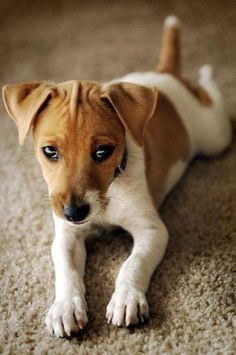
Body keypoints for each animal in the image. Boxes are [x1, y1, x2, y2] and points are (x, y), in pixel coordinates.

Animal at [1, 16, 232, 340]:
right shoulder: (66, 236)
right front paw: (65, 307)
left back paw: (207, 74)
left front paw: (127, 299)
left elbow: (131, 264)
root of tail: (165, 73)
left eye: (103, 152)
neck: (110, 190)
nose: (74, 212)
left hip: (215, 138)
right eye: (49, 151)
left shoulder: (152, 230)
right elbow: (67, 271)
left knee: (214, 102)